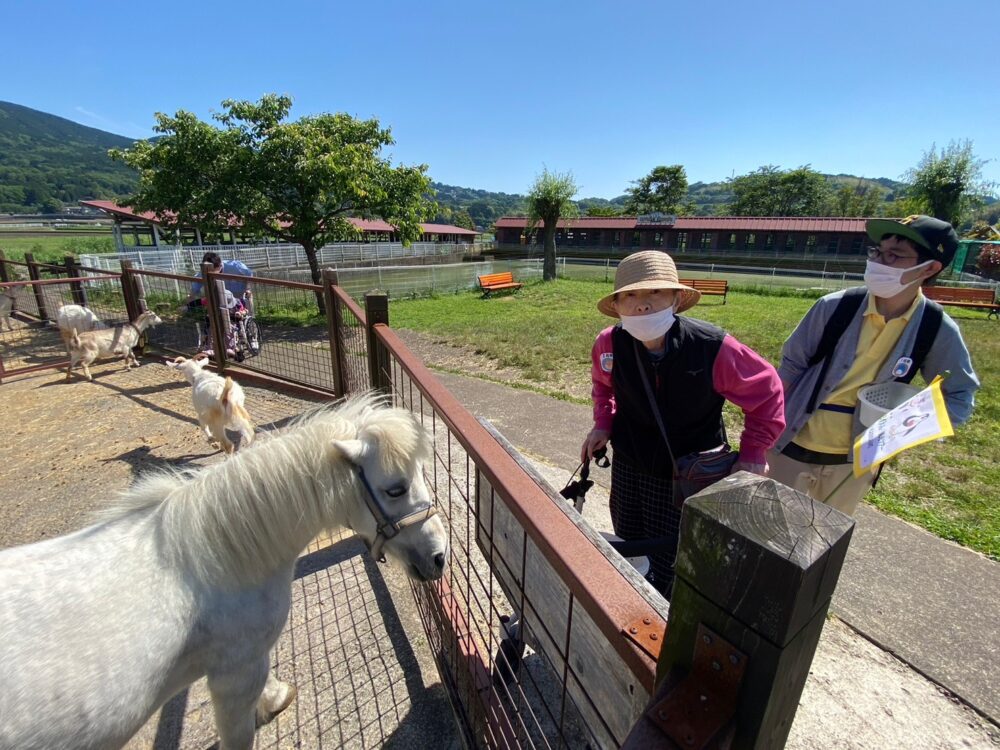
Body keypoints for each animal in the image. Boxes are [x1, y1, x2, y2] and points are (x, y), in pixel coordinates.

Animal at [0, 396, 448, 748]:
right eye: (395, 488)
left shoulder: (248, 661)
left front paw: (274, 697)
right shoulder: (235, 674)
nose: (440, 555)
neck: (218, 556)